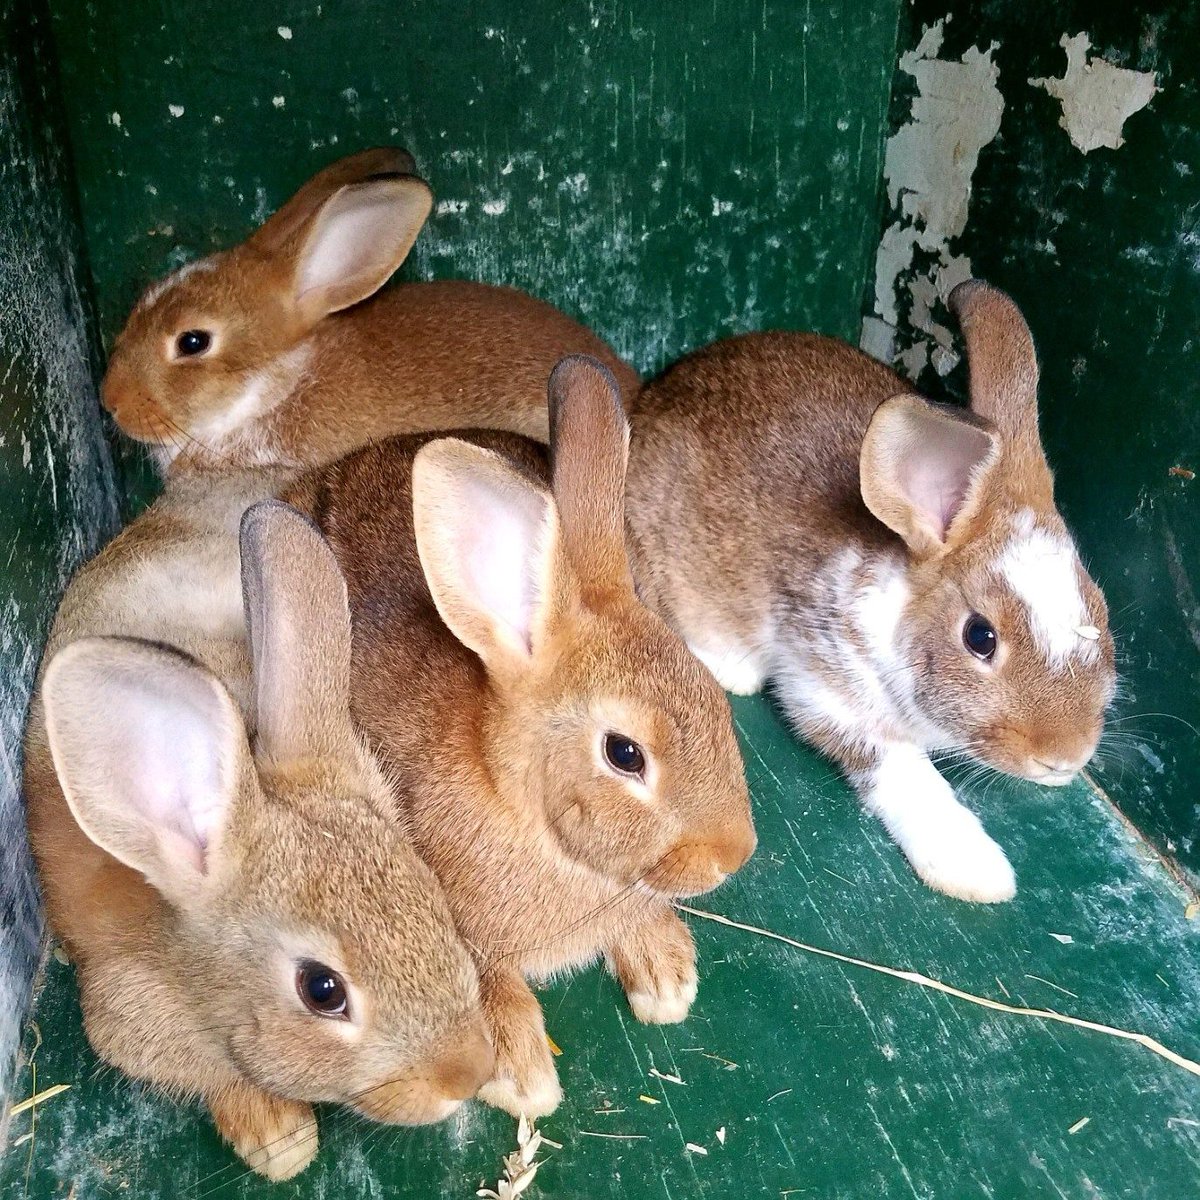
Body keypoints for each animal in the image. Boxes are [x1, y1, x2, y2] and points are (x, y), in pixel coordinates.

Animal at [284, 355, 756, 1118]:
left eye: (715, 698)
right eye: (625, 754)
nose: (732, 856)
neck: (530, 818)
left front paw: (664, 974)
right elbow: (488, 983)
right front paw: (520, 1074)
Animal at [620, 280, 1116, 903]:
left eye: (1099, 607)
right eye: (980, 637)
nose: (1066, 757)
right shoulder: (828, 691)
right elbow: (903, 775)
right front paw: (976, 870)